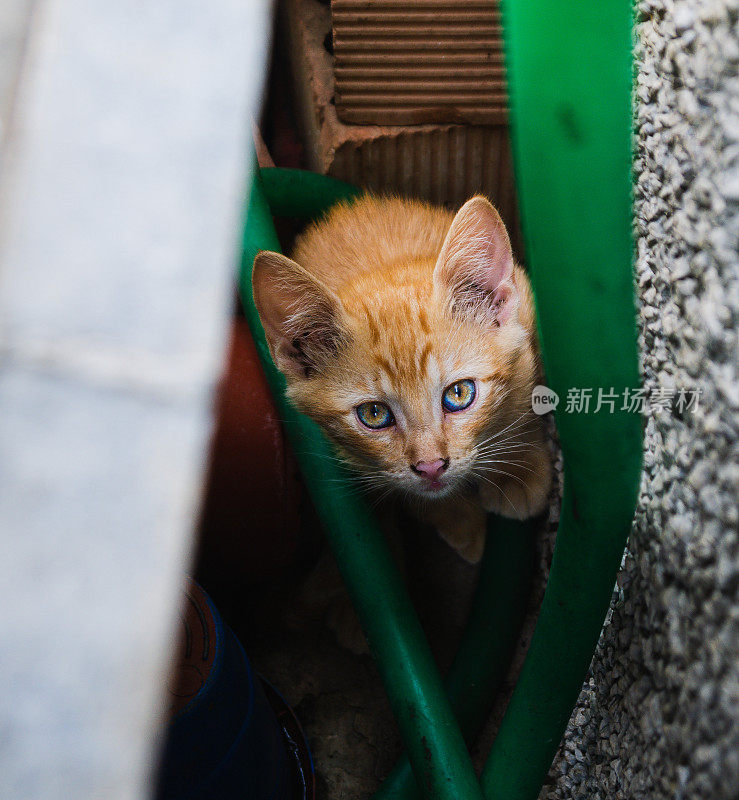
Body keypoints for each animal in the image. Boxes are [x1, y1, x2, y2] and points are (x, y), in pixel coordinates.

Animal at [253, 194, 548, 564]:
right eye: (374, 414)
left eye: (459, 394)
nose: (431, 467)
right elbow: (411, 494)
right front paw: (460, 520)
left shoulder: (526, 312)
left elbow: (527, 393)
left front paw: (520, 470)